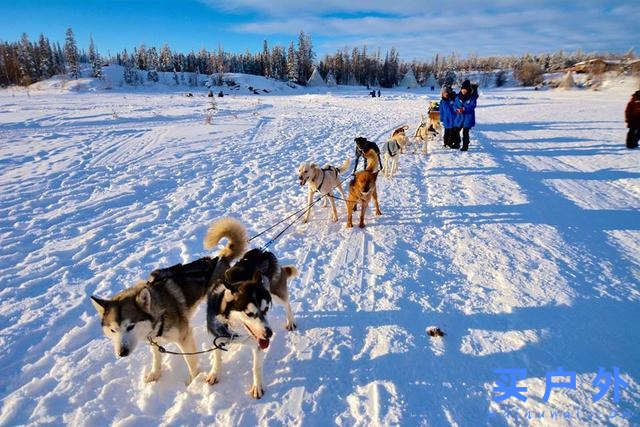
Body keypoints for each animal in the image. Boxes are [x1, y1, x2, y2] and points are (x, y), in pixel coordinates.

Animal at [91, 221, 246, 384]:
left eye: (130, 326)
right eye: (113, 330)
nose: (122, 353)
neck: (160, 313)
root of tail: (220, 259)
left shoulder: (184, 338)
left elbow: (191, 363)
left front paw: (193, 381)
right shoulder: (153, 340)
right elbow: (156, 358)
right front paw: (155, 373)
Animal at [205, 246, 298, 400]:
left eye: (266, 310)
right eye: (249, 314)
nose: (269, 334)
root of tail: (263, 252)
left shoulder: (257, 344)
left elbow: (256, 367)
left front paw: (257, 387)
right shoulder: (215, 336)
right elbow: (217, 358)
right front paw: (214, 374)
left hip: (276, 293)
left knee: (287, 304)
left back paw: (290, 321)